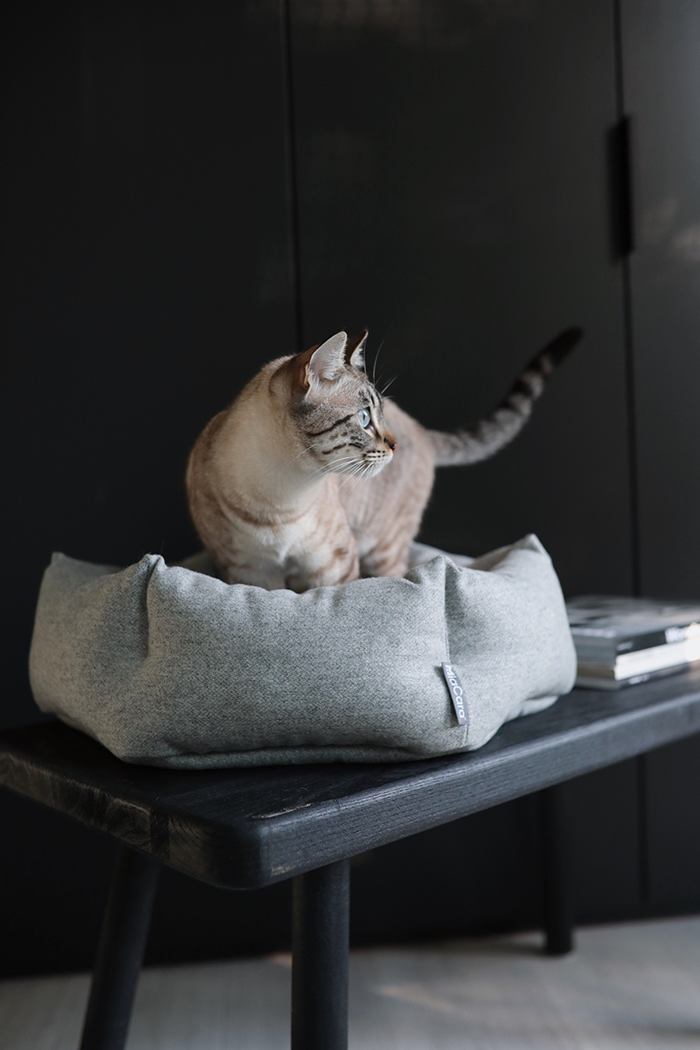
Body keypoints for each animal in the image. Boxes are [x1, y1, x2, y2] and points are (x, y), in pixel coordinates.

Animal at [184, 327, 579, 592]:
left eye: (380, 414)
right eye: (364, 418)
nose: (394, 444)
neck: (281, 497)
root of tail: (420, 430)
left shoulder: (331, 565)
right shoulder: (251, 573)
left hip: (383, 549)